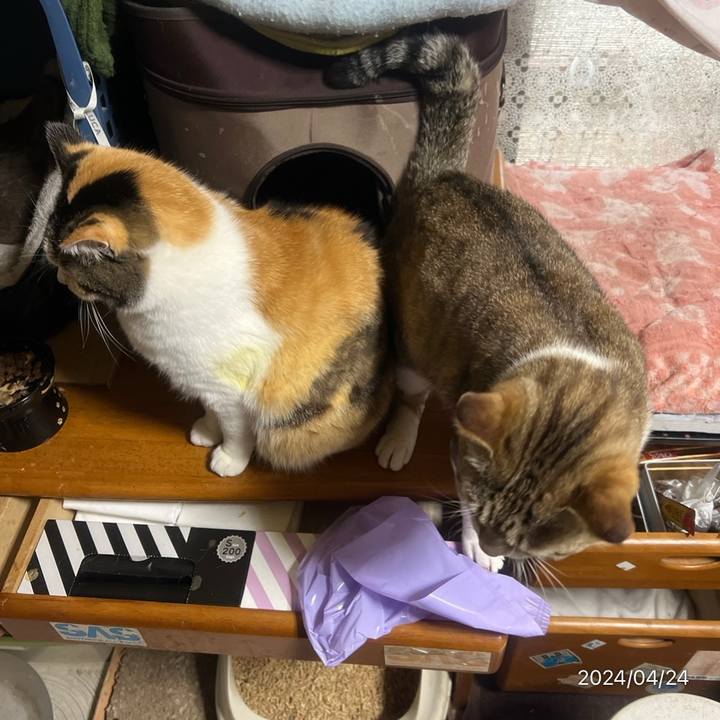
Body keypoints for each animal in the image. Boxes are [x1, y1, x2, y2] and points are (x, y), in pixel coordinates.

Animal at [39, 123, 392, 477]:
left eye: (65, 265)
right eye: (52, 260)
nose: (58, 279)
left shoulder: (230, 392)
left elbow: (235, 429)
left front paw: (228, 459)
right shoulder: (201, 381)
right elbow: (209, 409)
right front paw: (207, 432)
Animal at [327, 34, 650, 564]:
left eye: (539, 547)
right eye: (484, 513)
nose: (498, 545)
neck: (582, 382)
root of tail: (443, 176)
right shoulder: (465, 448)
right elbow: (460, 480)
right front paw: (477, 548)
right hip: (415, 342)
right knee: (412, 394)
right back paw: (399, 440)